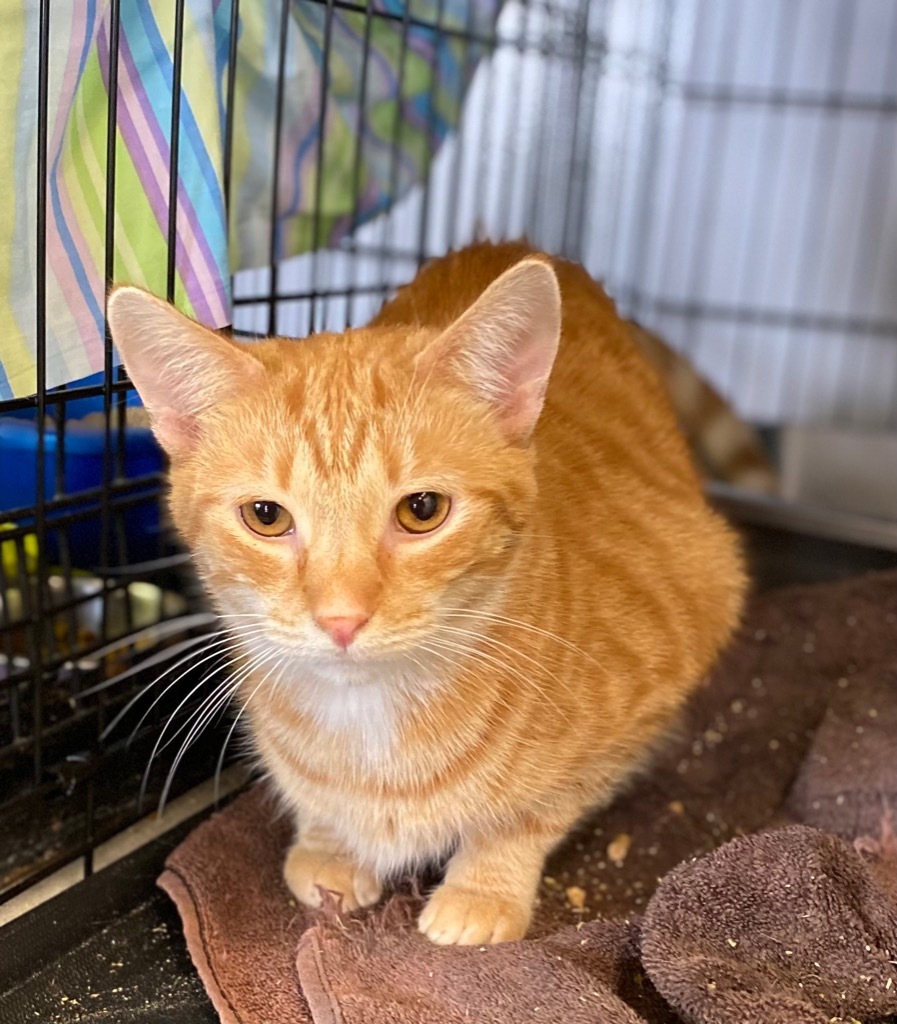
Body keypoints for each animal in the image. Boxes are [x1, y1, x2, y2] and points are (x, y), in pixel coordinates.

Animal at [108, 239, 745, 942]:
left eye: (422, 510)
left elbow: (535, 811)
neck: (369, 728)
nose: (341, 618)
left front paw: (484, 887)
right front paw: (331, 845)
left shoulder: (688, 623)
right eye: (266, 517)